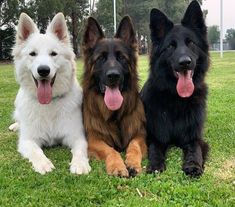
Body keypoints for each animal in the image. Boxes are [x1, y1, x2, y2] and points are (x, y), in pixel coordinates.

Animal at [11, 12, 91, 175]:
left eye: (53, 54)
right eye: (32, 54)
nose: (43, 70)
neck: (49, 103)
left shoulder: (77, 136)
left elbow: (80, 150)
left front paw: (79, 164)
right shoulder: (27, 141)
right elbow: (36, 151)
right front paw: (43, 164)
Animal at [141, 0, 209, 178]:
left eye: (190, 42)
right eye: (171, 46)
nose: (185, 62)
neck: (177, 99)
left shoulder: (194, 136)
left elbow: (195, 149)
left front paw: (193, 165)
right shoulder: (155, 136)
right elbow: (155, 148)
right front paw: (155, 164)